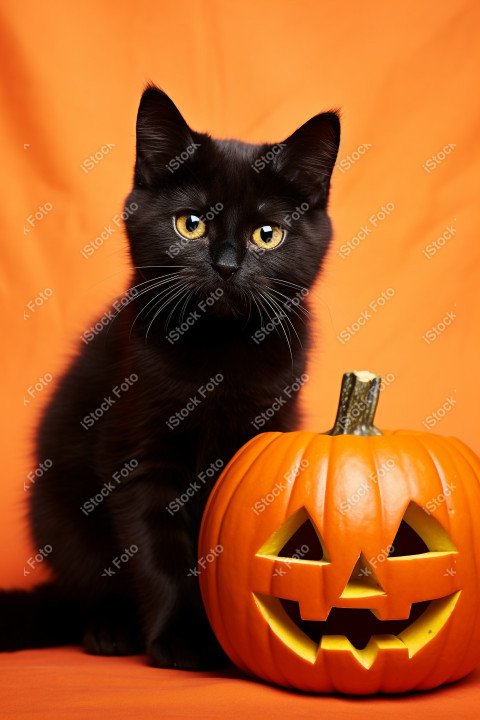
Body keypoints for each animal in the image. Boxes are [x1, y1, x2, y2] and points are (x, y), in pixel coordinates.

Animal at [0, 88, 340, 668]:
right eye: (190, 224)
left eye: (267, 234)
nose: (226, 265)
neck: (218, 354)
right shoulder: (139, 455)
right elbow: (159, 552)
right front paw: (182, 639)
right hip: (57, 515)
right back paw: (110, 630)